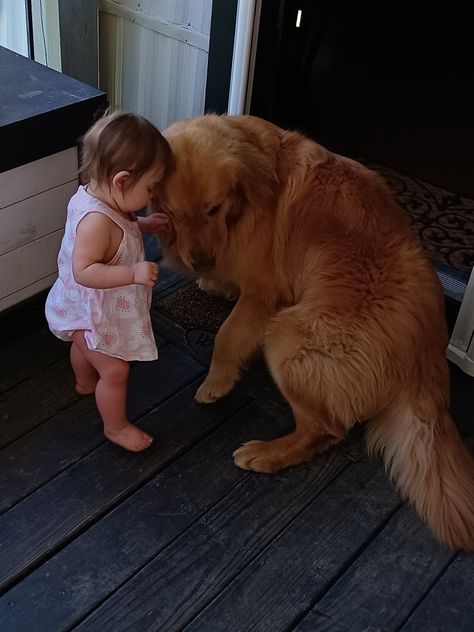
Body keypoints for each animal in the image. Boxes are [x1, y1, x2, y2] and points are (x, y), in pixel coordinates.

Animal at [155, 113, 474, 548]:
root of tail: (426, 359)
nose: (201, 262)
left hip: (287, 338)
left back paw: (268, 453)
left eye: (213, 208)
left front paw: (216, 382)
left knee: (324, 430)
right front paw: (213, 283)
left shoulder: (263, 295)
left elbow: (227, 336)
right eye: (171, 213)